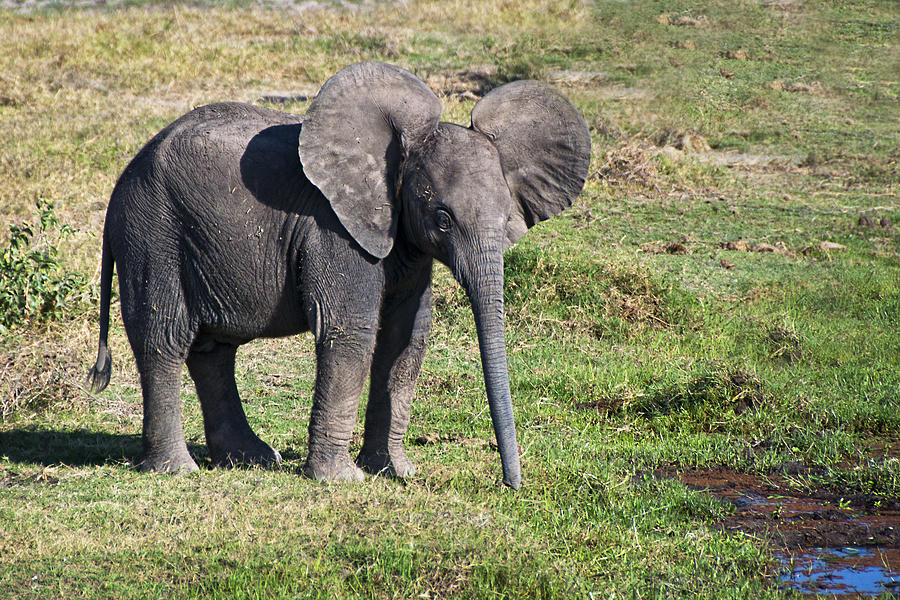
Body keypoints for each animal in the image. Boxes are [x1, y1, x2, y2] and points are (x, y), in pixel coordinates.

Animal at [86, 62, 592, 488]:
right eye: (443, 219)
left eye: (508, 219)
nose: (511, 484)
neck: (396, 154)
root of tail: (125, 175)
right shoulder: (335, 229)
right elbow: (351, 331)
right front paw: (342, 481)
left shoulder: (403, 240)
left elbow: (407, 340)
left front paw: (396, 472)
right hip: (153, 232)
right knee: (164, 337)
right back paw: (178, 470)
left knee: (214, 349)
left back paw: (251, 459)